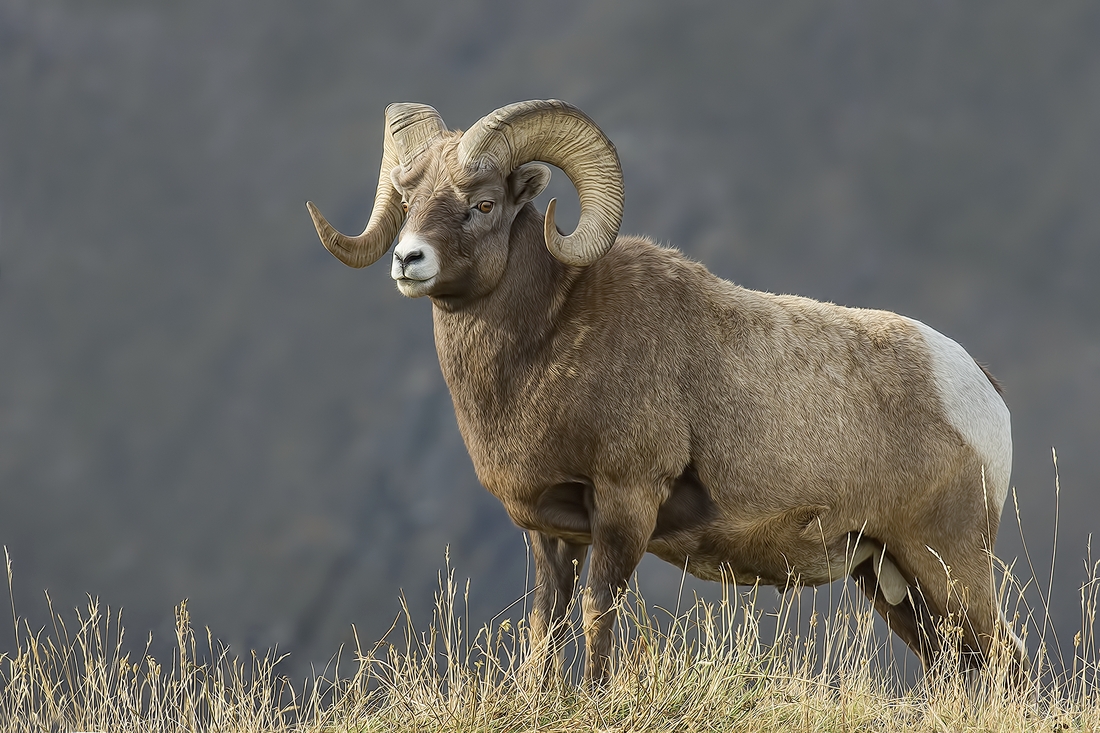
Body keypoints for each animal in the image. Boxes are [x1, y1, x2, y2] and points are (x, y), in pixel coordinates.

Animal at [305, 100, 1025, 682]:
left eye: (483, 204)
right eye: (408, 197)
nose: (409, 260)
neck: (546, 341)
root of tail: (980, 392)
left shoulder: (625, 506)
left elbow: (598, 615)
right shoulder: (551, 533)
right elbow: (546, 627)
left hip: (948, 561)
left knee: (1004, 660)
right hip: (892, 580)